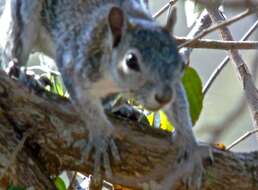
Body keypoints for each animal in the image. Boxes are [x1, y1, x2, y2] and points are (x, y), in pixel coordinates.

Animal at [0, 0, 212, 189]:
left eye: (181, 64)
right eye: (131, 61)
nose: (163, 97)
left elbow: (179, 106)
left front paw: (190, 144)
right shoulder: (77, 63)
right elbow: (86, 105)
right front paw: (101, 137)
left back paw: (126, 111)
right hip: (22, 21)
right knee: (13, 50)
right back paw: (24, 74)